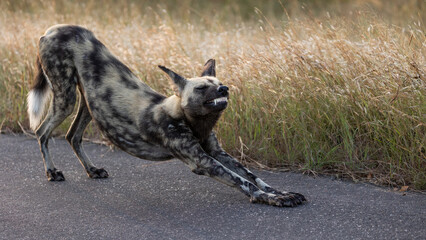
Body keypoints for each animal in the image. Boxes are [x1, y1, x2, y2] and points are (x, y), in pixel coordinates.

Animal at [27, 24, 306, 208]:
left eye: (219, 83)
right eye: (201, 88)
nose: (224, 89)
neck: (194, 122)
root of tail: (53, 29)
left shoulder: (216, 152)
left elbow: (254, 176)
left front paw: (280, 192)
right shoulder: (202, 161)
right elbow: (244, 182)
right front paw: (271, 199)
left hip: (88, 105)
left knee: (72, 136)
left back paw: (92, 170)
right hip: (66, 98)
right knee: (42, 132)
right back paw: (52, 172)